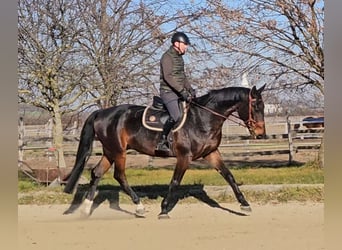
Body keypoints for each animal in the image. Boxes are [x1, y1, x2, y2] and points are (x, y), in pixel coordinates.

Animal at [64, 85, 268, 218]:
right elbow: (175, 182)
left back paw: (86, 209)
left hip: (110, 151)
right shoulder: (184, 156)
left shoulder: (212, 153)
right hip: (119, 152)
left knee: (97, 172)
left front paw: (244, 204)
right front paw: (163, 210)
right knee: (119, 176)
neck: (202, 118)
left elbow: (229, 176)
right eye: (256, 106)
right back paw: (139, 207)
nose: (261, 134)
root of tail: (101, 112)